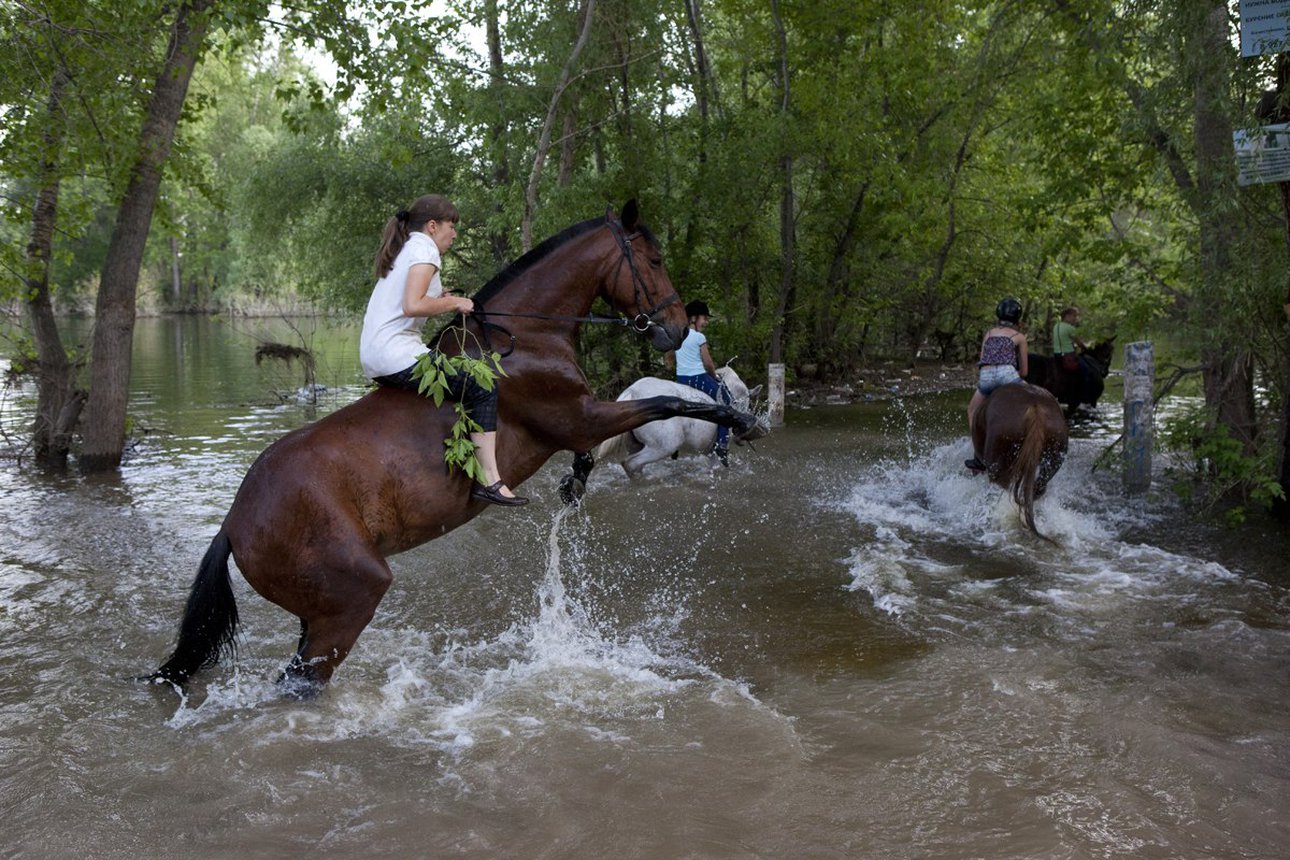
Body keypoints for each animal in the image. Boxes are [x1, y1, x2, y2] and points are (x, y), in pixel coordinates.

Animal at [595, 363, 763, 477]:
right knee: (630, 464)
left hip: (635, 444)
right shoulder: (717, 449)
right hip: (664, 445)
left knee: (635, 465)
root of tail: (632, 392)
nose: (741, 436)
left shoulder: (709, 451)